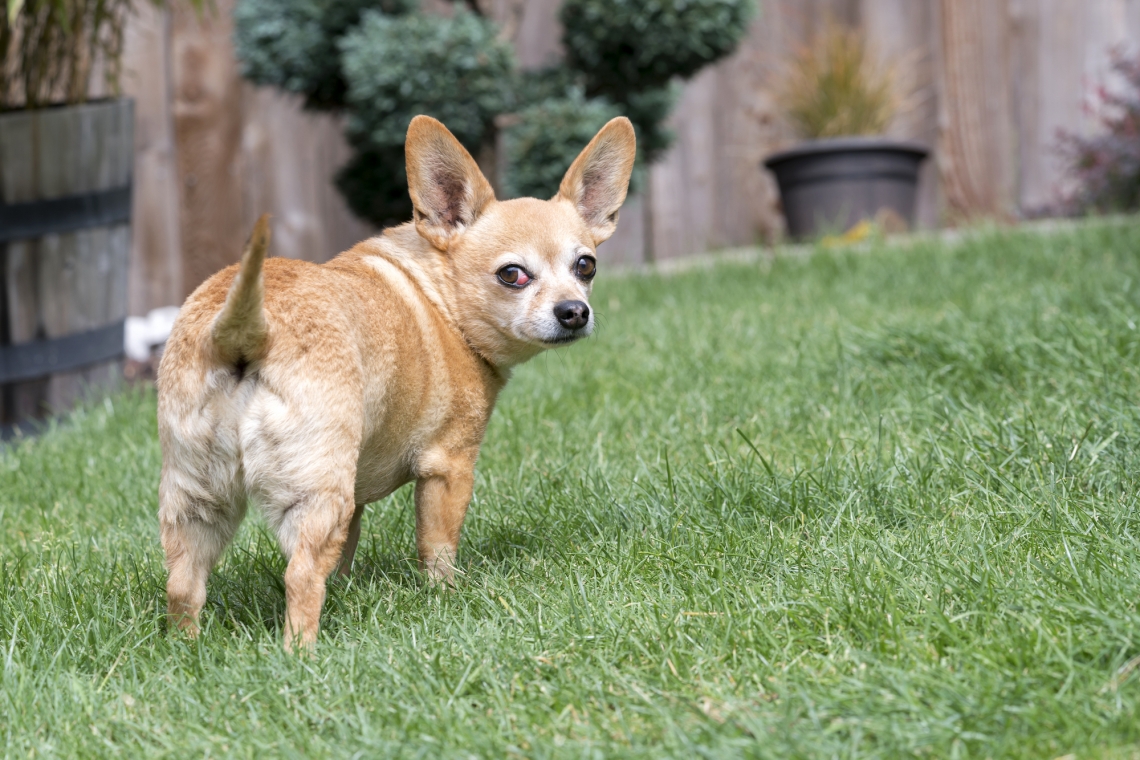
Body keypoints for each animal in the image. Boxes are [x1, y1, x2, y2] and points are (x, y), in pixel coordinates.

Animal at [156, 116, 638, 651]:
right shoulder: (448, 467)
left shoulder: (356, 498)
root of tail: (245, 331)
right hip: (314, 495)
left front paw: (347, 589)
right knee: (300, 576)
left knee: (184, 585)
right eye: (512, 275)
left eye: (585, 266)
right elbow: (437, 548)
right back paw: (300, 653)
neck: (439, 295)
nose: (574, 311)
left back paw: (186, 650)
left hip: (197, 500)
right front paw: (446, 597)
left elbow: (347, 552)